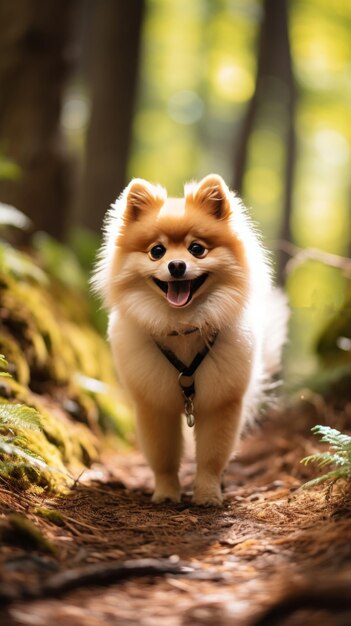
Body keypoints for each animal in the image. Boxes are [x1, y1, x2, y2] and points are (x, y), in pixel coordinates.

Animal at [93, 173, 288, 504]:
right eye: (157, 251)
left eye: (196, 249)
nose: (176, 266)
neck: (183, 326)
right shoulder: (154, 405)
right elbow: (163, 457)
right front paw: (166, 494)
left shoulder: (221, 403)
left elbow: (211, 456)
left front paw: (207, 496)